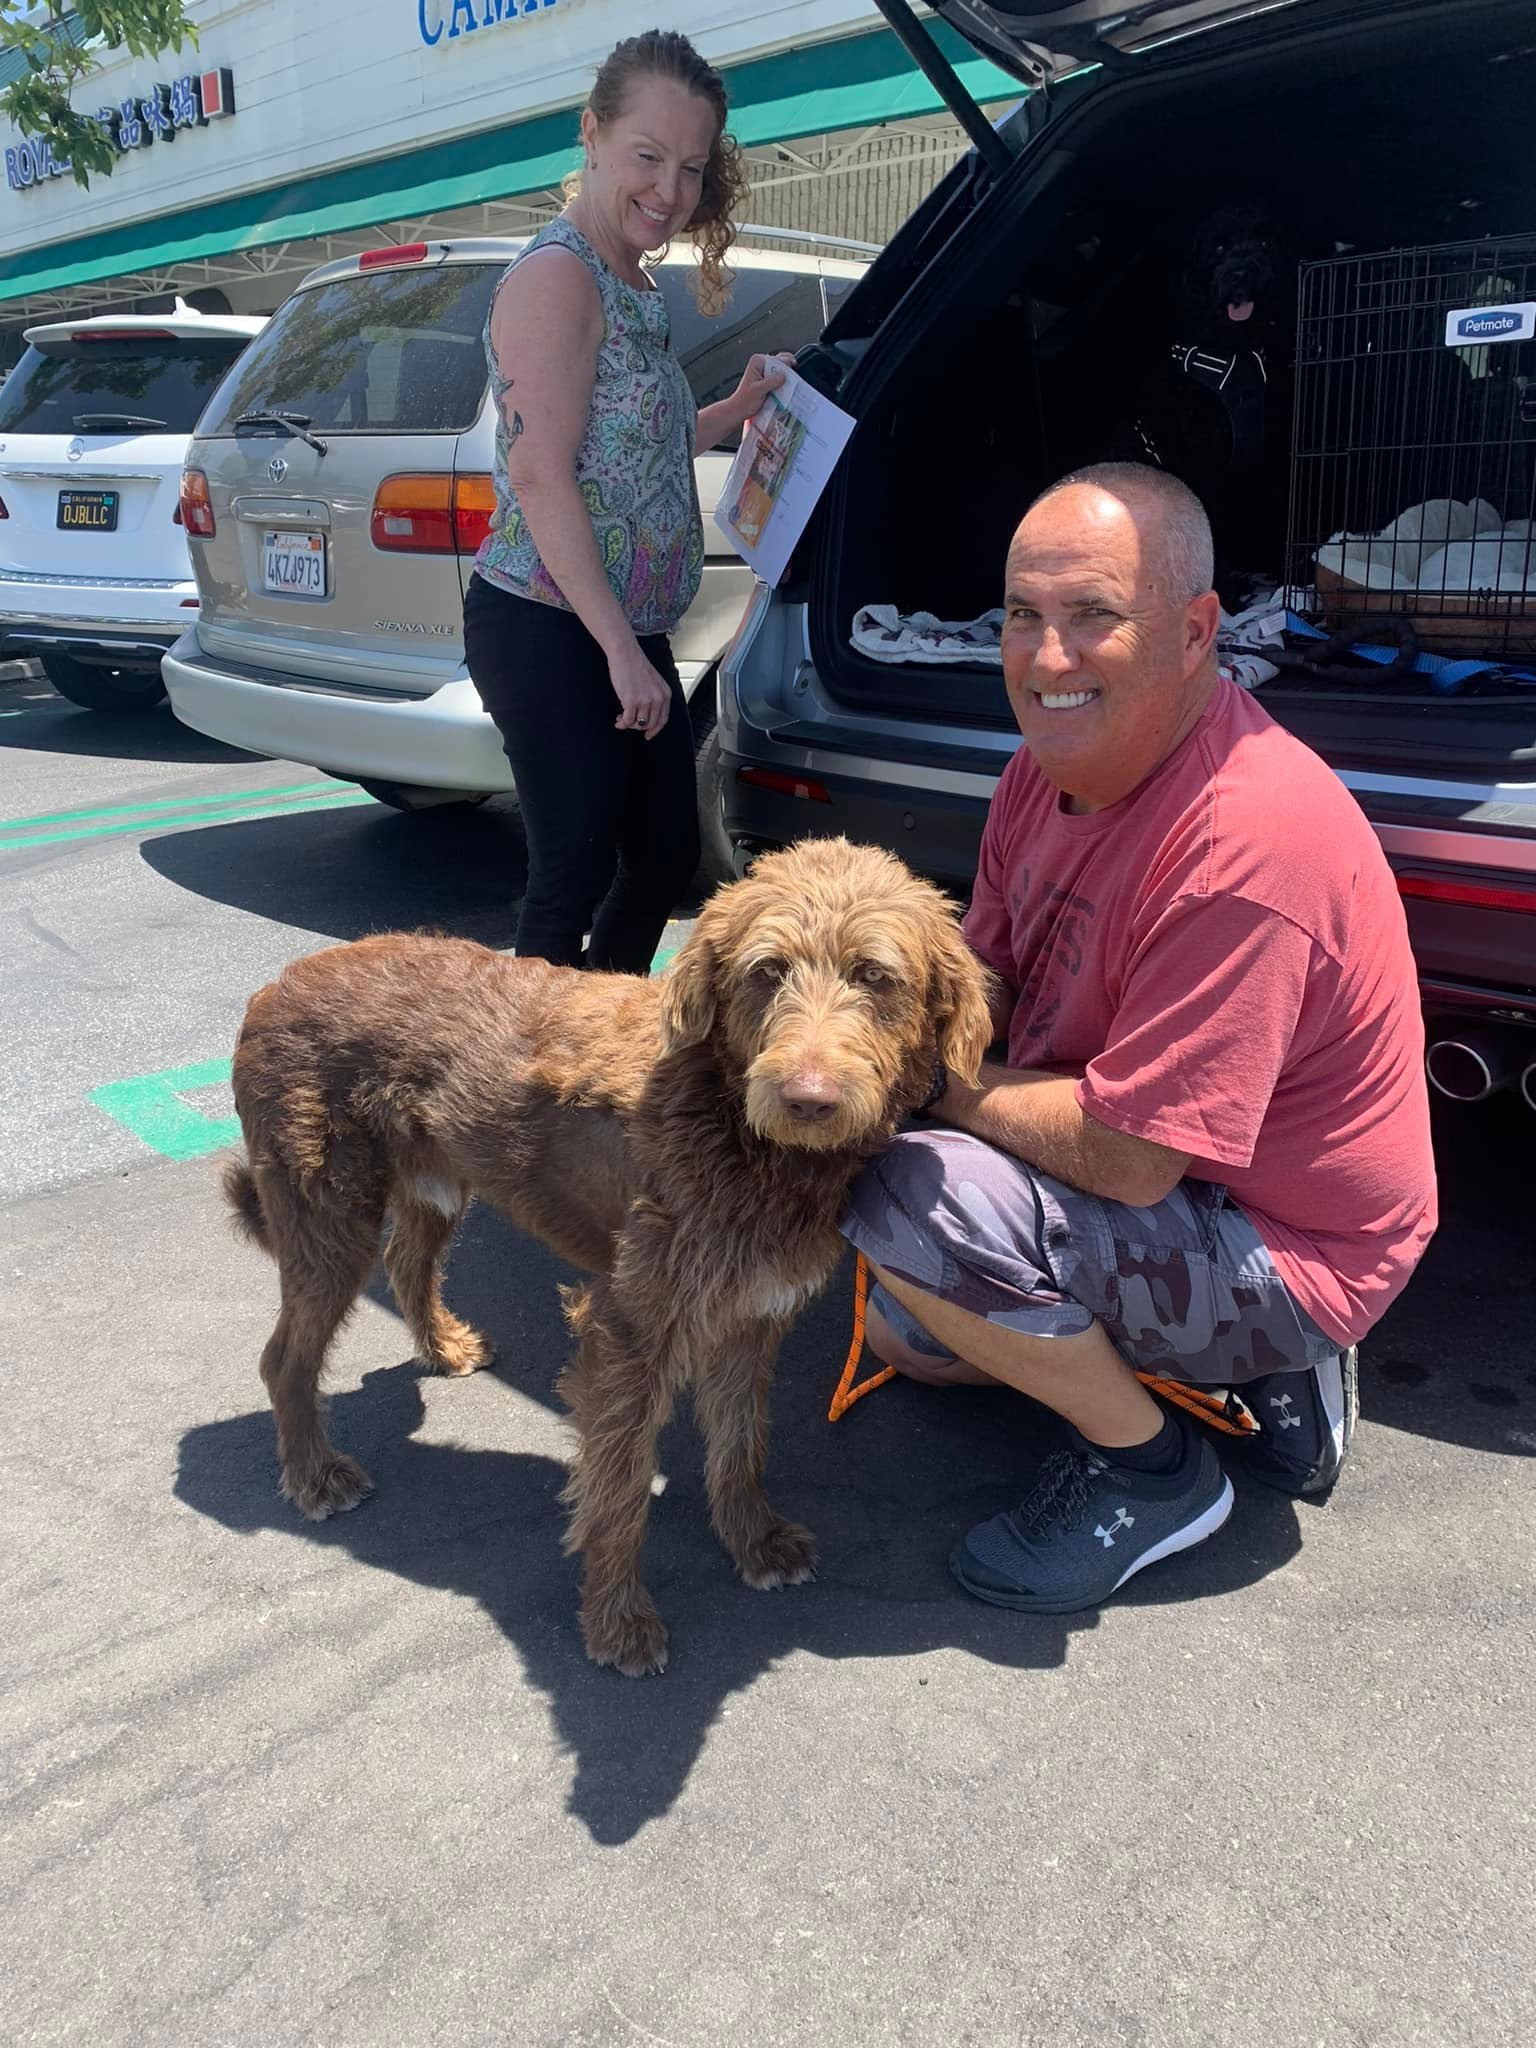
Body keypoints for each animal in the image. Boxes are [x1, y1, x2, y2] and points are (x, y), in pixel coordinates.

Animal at [228, 839, 999, 1671]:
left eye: (876, 976)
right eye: (767, 971)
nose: (808, 1100)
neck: (731, 1120)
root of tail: (275, 986)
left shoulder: (751, 1313)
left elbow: (740, 1441)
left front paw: (753, 1541)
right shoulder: (633, 1328)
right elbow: (621, 1483)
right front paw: (618, 1619)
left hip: (434, 1181)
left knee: (408, 1260)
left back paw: (442, 1347)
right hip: (326, 1213)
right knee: (285, 1356)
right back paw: (314, 1475)